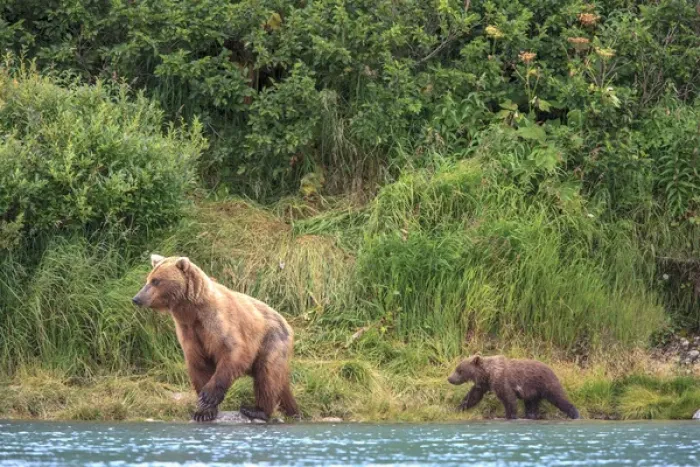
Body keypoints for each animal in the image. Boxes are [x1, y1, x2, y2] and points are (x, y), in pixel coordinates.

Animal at [132, 254, 299, 423]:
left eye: (156, 281)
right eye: (148, 279)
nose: (136, 298)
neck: (192, 312)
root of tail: (287, 323)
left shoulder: (217, 322)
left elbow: (234, 351)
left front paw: (208, 397)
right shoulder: (189, 331)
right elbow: (199, 364)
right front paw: (204, 412)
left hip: (272, 340)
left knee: (267, 374)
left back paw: (256, 410)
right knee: (279, 382)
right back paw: (293, 409)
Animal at [447, 354, 580, 420]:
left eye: (459, 370)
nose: (449, 378)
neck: (488, 373)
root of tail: (551, 368)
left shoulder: (502, 380)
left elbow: (508, 398)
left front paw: (512, 416)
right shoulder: (483, 384)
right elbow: (473, 396)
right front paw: (458, 408)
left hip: (545, 383)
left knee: (559, 398)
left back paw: (575, 414)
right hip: (533, 391)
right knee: (532, 404)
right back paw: (531, 416)